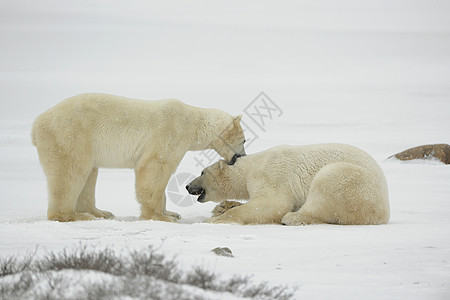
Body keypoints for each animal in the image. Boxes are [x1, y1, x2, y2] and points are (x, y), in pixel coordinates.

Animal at [32, 94, 246, 223]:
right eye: (244, 140)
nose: (241, 157)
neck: (192, 122)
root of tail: (36, 125)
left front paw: (172, 213)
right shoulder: (171, 131)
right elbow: (154, 167)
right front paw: (160, 216)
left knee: (89, 174)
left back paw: (100, 212)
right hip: (70, 136)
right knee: (70, 173)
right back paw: (73, 215)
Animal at [186, 144, 390, 225]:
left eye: (202, 172)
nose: (188, 186)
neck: (250, 167)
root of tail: (385, 212)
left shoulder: (269, 175)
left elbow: (271, 204)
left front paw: (213, 220)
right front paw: (222, 207)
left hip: (353, 183)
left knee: (325, 189)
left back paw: (292, 217)